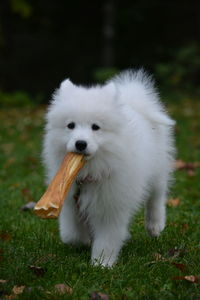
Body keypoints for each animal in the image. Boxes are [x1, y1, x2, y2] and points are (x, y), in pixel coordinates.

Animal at [42, 69, 175, 268]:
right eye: (70, 125)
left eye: (96, 127)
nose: (80, 143)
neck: (91, 170)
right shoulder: (70, 200)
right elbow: (71, 234)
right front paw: (83, 240)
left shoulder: (111, 205)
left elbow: (107, 238)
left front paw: (102, 264)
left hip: (156, 170)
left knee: (156, 196)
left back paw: (155, 225)